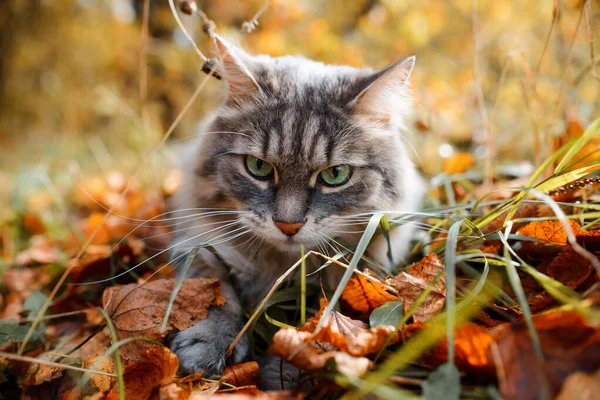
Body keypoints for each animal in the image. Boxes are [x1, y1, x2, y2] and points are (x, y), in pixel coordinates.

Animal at [166, 36, 424, 382]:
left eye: (335, 175)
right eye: (258, 167)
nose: (288, 225)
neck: (282, 266)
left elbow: (318, 325)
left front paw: (284, 373)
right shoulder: (197, 243)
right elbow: (213, 294)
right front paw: (206, 347)